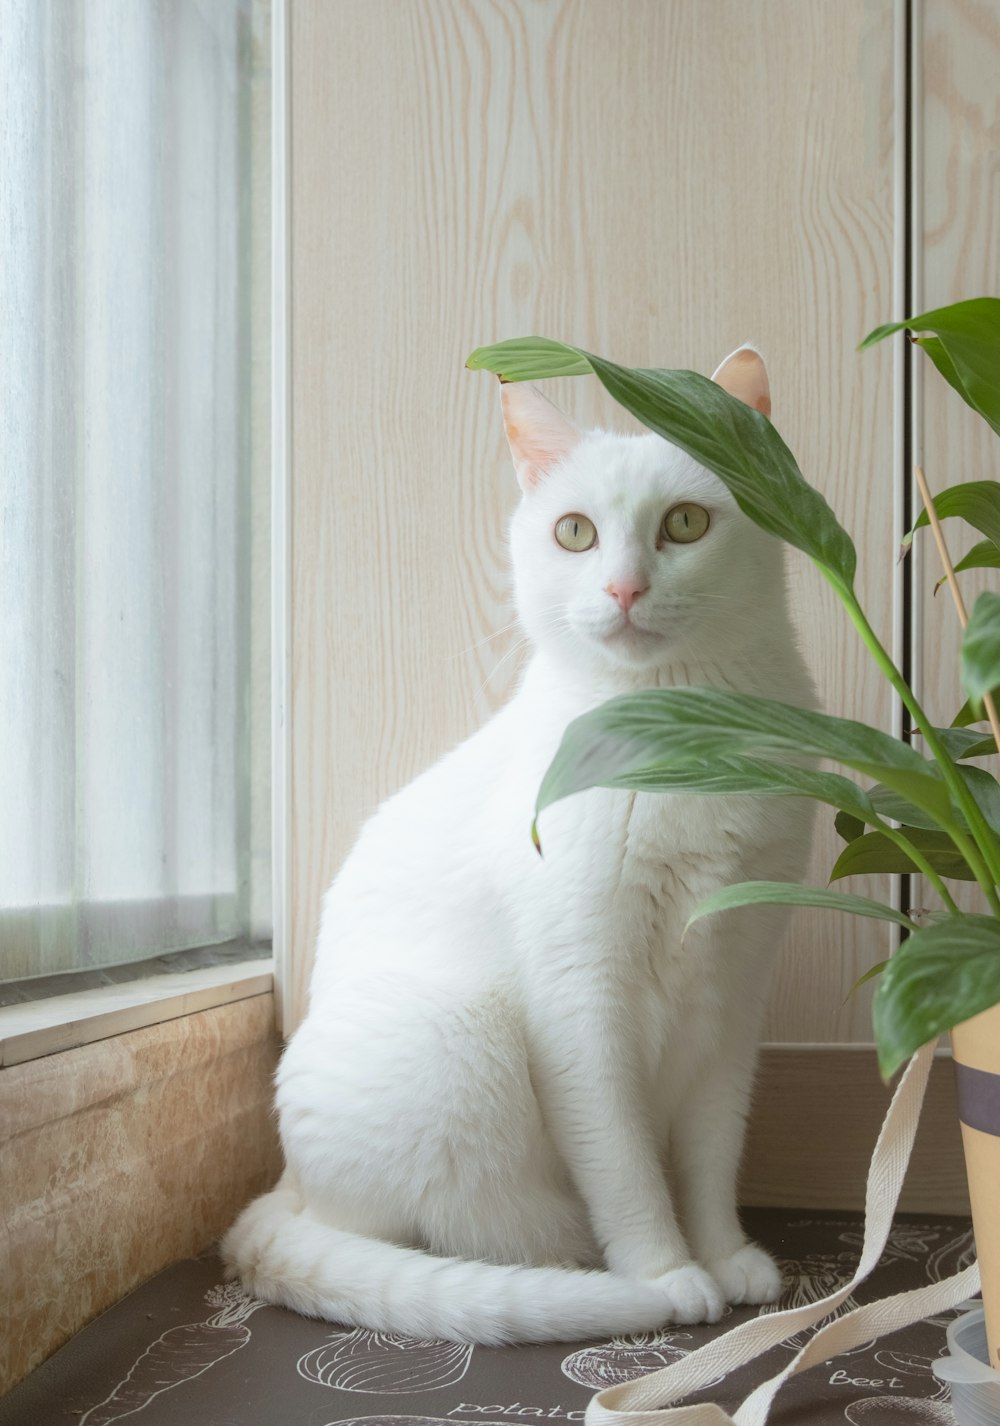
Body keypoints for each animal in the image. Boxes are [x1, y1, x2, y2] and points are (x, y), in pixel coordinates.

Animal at [222, 347, 815, 1346]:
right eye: (574, 533)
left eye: (685, 523)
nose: (623, 589)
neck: (676, 740)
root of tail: (284, 1190)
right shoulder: (579, 1000)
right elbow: (625, 1163)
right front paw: (667, 1271)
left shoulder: (735, 995)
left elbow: (709, 1153)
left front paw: (725, 1253)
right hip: (457, 1035)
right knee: (466, 1233)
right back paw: (576, 1265)